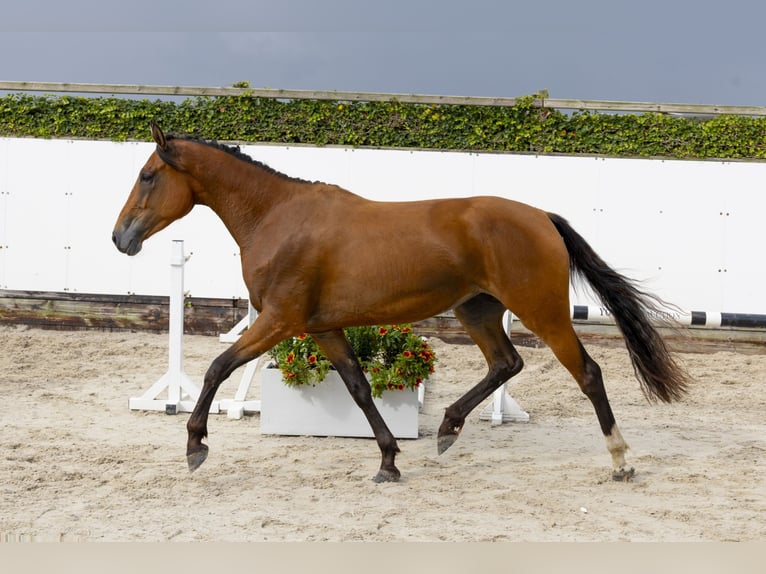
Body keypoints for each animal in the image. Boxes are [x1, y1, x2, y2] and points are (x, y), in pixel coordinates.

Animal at [112, 124, 688, 484]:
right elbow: (360, 389)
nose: (121, 238)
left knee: (586, 372)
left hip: (540, 311)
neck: (277, 217)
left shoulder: (279, 320)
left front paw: (195, 445)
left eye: (147, 176)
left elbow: (216, 367)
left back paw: (620, 461)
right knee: (506, 362)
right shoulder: (322, 328)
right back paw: (448, 429)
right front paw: (389, 460)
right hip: (476, 310)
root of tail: (541, 217)